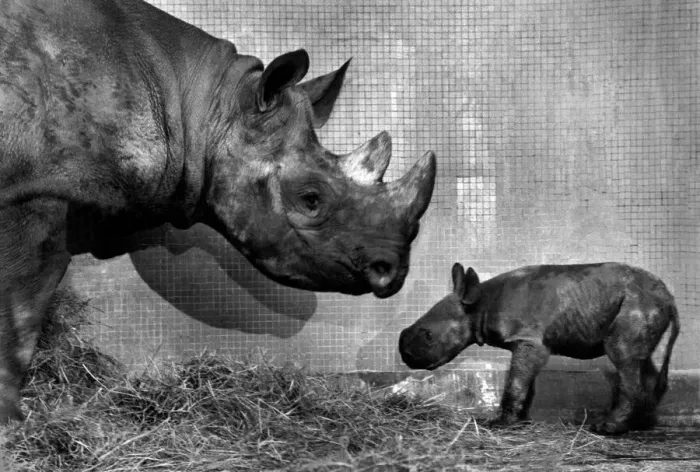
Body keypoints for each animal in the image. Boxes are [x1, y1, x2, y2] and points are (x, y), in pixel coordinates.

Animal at [0, 0, 437, 423]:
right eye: (311, 199)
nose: (393, 271)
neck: (202, 104)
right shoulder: (32, 192)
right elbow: (19, 312)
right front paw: (12, 423)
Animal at [399, 262, 680, 435]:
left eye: (428, 335)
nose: (406, 356)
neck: (479, 305)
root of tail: (669, 298)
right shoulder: (530, 341)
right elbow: (525, 382)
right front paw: (521, 421)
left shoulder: (527, 339)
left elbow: (515, 382)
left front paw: (499, 424)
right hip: (643, 304)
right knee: (639, 359)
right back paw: (641, 425)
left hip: (638, 303)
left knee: (622, 355)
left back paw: (607, 429)